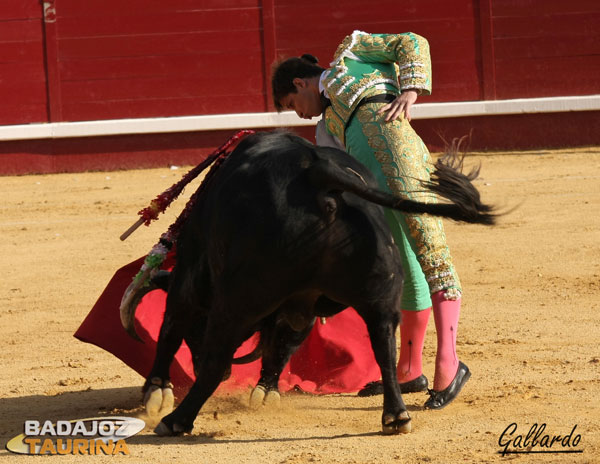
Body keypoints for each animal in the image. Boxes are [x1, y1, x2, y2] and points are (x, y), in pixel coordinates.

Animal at [119, 130, 494, 436]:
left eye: (197, 330)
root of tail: (317, 174)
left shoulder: (191, 276)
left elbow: (171, 327)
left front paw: (157, 391)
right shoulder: (303, 304)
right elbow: (284, 344)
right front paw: (266, 390)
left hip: (238, 299)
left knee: (215, 358)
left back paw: (176, 421)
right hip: (380, 294)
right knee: (384, 344)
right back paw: (396, 416)